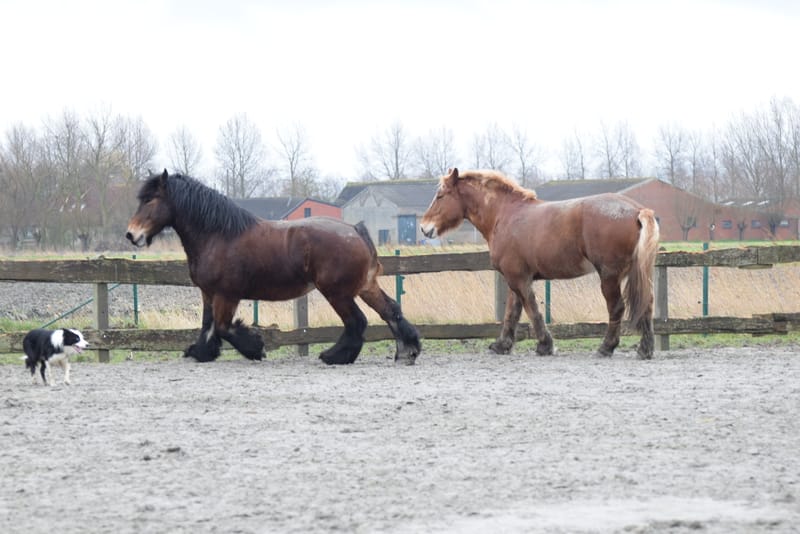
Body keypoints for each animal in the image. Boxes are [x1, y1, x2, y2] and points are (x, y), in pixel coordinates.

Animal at [126, 170, 421, 365]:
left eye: (151, 200)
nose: (131, 234)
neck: (218, 235)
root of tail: (355, 230)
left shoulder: (226, 295)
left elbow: (222, 327)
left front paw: (256, 348)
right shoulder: (208, 293)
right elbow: (208, 326)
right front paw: (201, 352)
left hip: (337, 293)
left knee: (356, 322)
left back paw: (334, 356)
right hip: (364, 286)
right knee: (391, 311)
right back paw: (407, 351)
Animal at [420, 168, 659, 359]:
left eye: (440, 195)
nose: (424, 227)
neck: (504, 214)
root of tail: (637, 210)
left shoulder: (519, 279)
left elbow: (532, 309)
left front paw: (545, 345)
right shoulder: (514, 279)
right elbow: (511, 313)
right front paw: (502, 345)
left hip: (609, 276)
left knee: (616, 308)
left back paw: (606, 347)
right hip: (636, 274)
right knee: (647, 303)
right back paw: (645, 349)